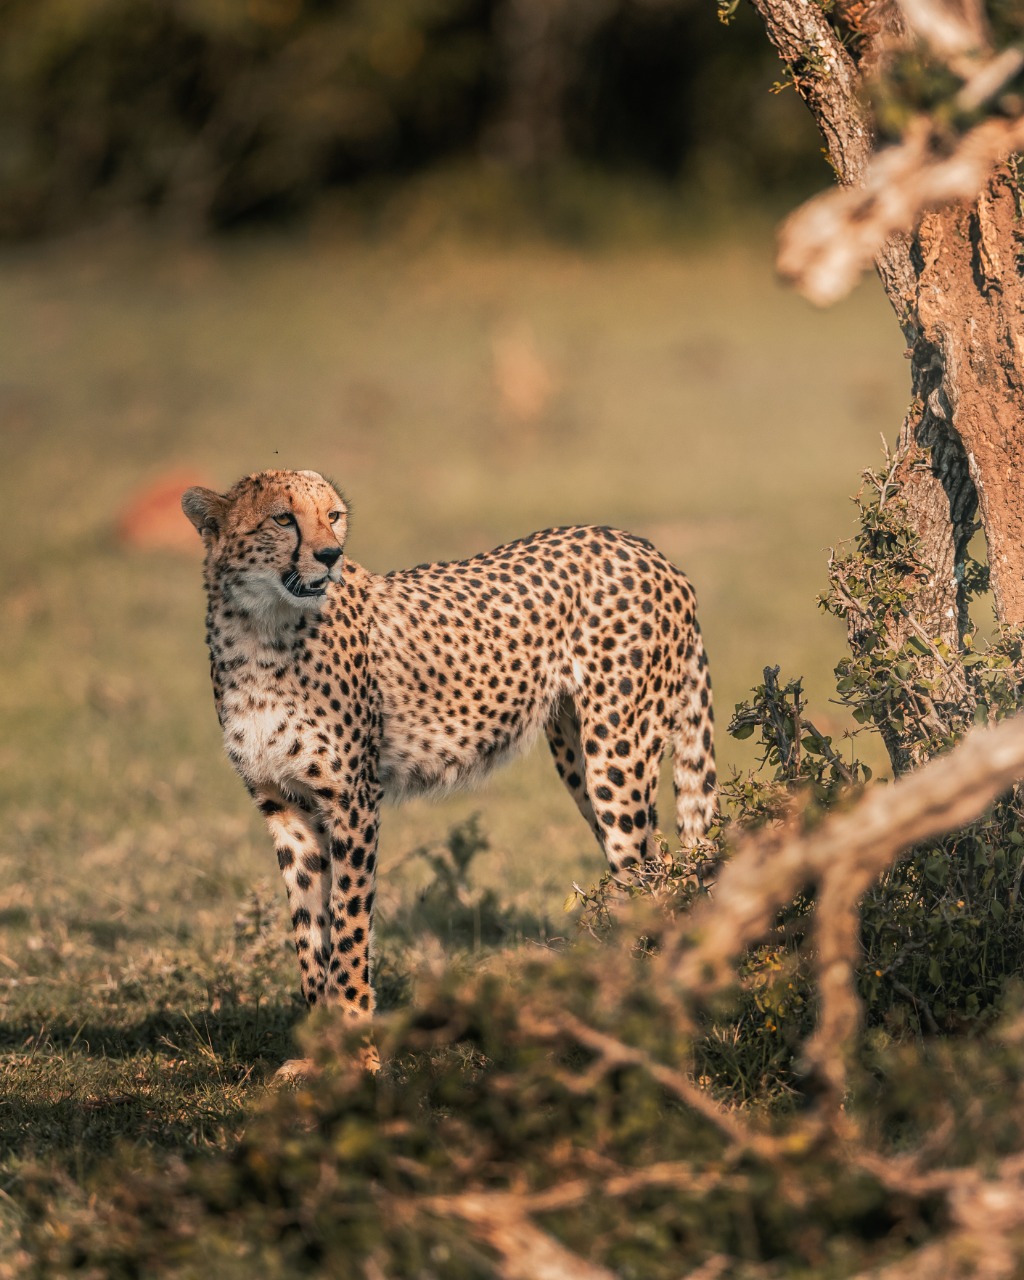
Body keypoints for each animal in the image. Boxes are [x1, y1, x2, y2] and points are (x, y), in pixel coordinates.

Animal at [180, 468, 716, 1059]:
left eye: (333, 516)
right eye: (283, 518)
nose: (329, 555)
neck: (260, 630)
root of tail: (645, 549)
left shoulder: (353, 801)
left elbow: (348, 929)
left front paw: (358, 1048)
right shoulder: (285, 806)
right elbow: (310, 934)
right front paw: (318, 1052)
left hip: (618, 755)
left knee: (649, 871)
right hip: (579, 755)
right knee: (652, 866)